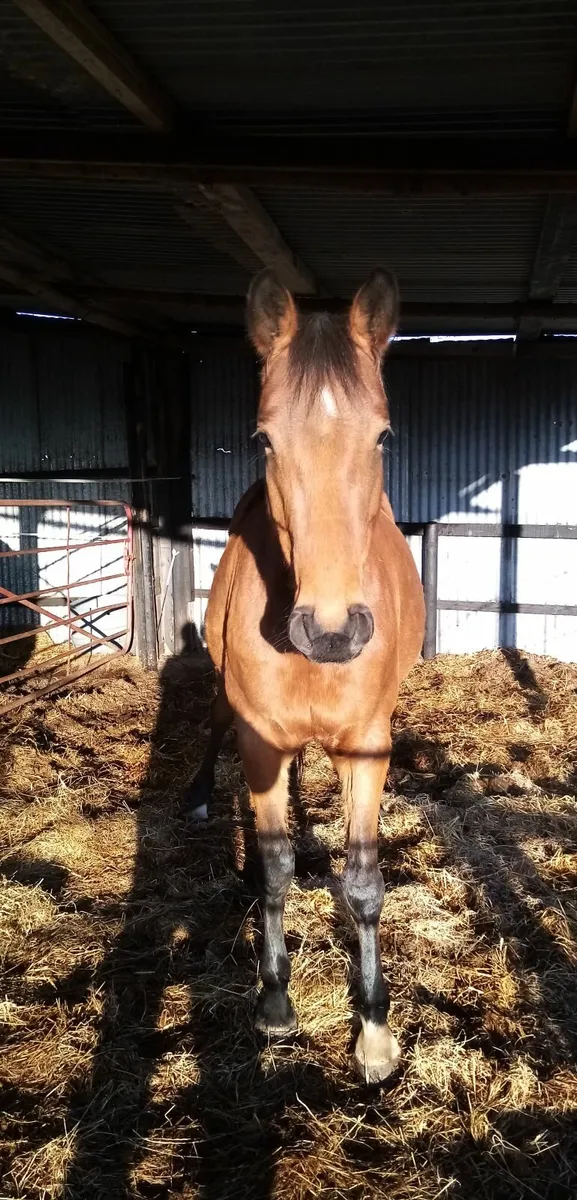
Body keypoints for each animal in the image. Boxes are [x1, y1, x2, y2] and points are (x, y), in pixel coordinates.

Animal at [188, 269, 425, 1083]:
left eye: (384, 435)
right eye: (265, 438)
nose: (329, 631)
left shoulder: (366, 747)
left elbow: (362, 883)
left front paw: (376, 1030)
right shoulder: (260, 742)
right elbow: (274, 868)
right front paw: (273, 1000)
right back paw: (199, 796)